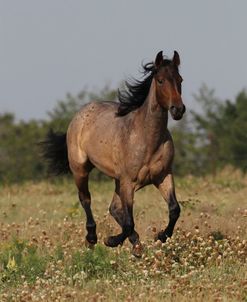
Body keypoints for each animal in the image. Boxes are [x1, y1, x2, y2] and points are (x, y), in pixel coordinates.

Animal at [41, 50, 185, 258]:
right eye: (160, 80)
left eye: (180, 79)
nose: (178, 109)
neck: (147, 138)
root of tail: (81, 112)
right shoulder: (128, 181)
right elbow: (129, 221)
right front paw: (111, 241)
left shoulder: (163, 176)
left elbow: (174, 210)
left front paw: (161, 236)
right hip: (81, 169)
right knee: (86, 199)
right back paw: (92, 238)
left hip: (119, 181)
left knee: (114, 208)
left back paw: (136, 245)